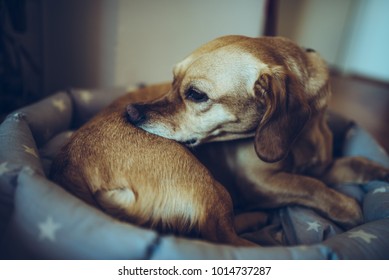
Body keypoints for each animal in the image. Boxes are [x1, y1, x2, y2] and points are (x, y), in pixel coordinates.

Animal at [126, 35, 388, 229]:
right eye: (172, 80)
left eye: (196, 94)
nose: (131, 112)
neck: (303, 134)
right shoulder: (260, 182)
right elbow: (310, 186)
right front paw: (347, 207)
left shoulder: (319, 167)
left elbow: (352, 164)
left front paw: (378, 170)